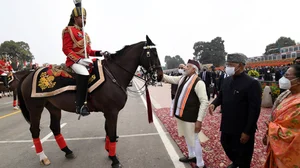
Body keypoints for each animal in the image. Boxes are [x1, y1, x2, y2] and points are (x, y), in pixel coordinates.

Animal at [17, 35, 163, 168]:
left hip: (54, 107)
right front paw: (114, 159)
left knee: (55, 128)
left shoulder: (108, 112)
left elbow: (108, 131)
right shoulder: (112, 112)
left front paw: (109, 151)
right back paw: (43, 157)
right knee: (35, 130)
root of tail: (29, 74)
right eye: (153, 54)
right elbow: (111, 133)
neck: (114, 74)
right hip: (35, 108)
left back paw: (67, 151)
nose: (160, 76)